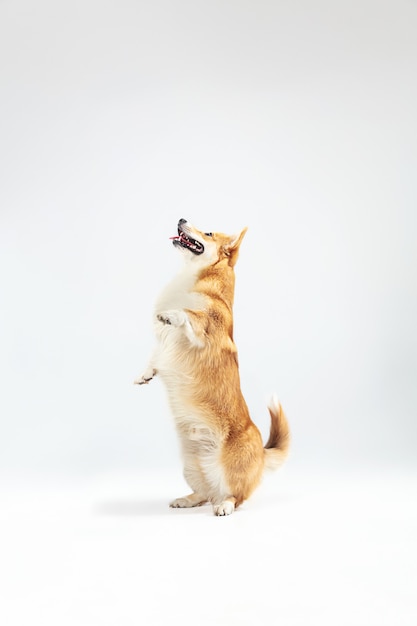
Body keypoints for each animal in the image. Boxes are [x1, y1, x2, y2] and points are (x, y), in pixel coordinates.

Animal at [135, 217, 288, 516]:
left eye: (207, 232)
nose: (181, 218)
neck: (195, 279)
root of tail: (262, 453)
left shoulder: (203, 329)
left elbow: (188, 315)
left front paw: (171, 315)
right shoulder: (163, 345)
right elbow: (155, 356)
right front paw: (145, 374)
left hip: (231, 467)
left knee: (236, 496)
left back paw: (225, 506)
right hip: (190, 465)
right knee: (205, 494)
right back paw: (187, 499)